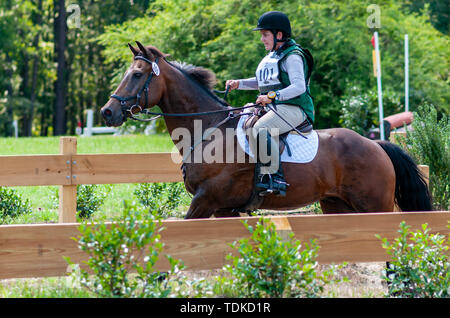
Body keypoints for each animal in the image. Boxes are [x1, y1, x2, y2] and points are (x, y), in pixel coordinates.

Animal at [100, 41, 430, 219]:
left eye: (137, 75)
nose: (107, 112)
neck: (208, 130)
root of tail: (377, 145)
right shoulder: (225, 209)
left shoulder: (205, 200)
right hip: (338, 206)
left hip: (375, 206)